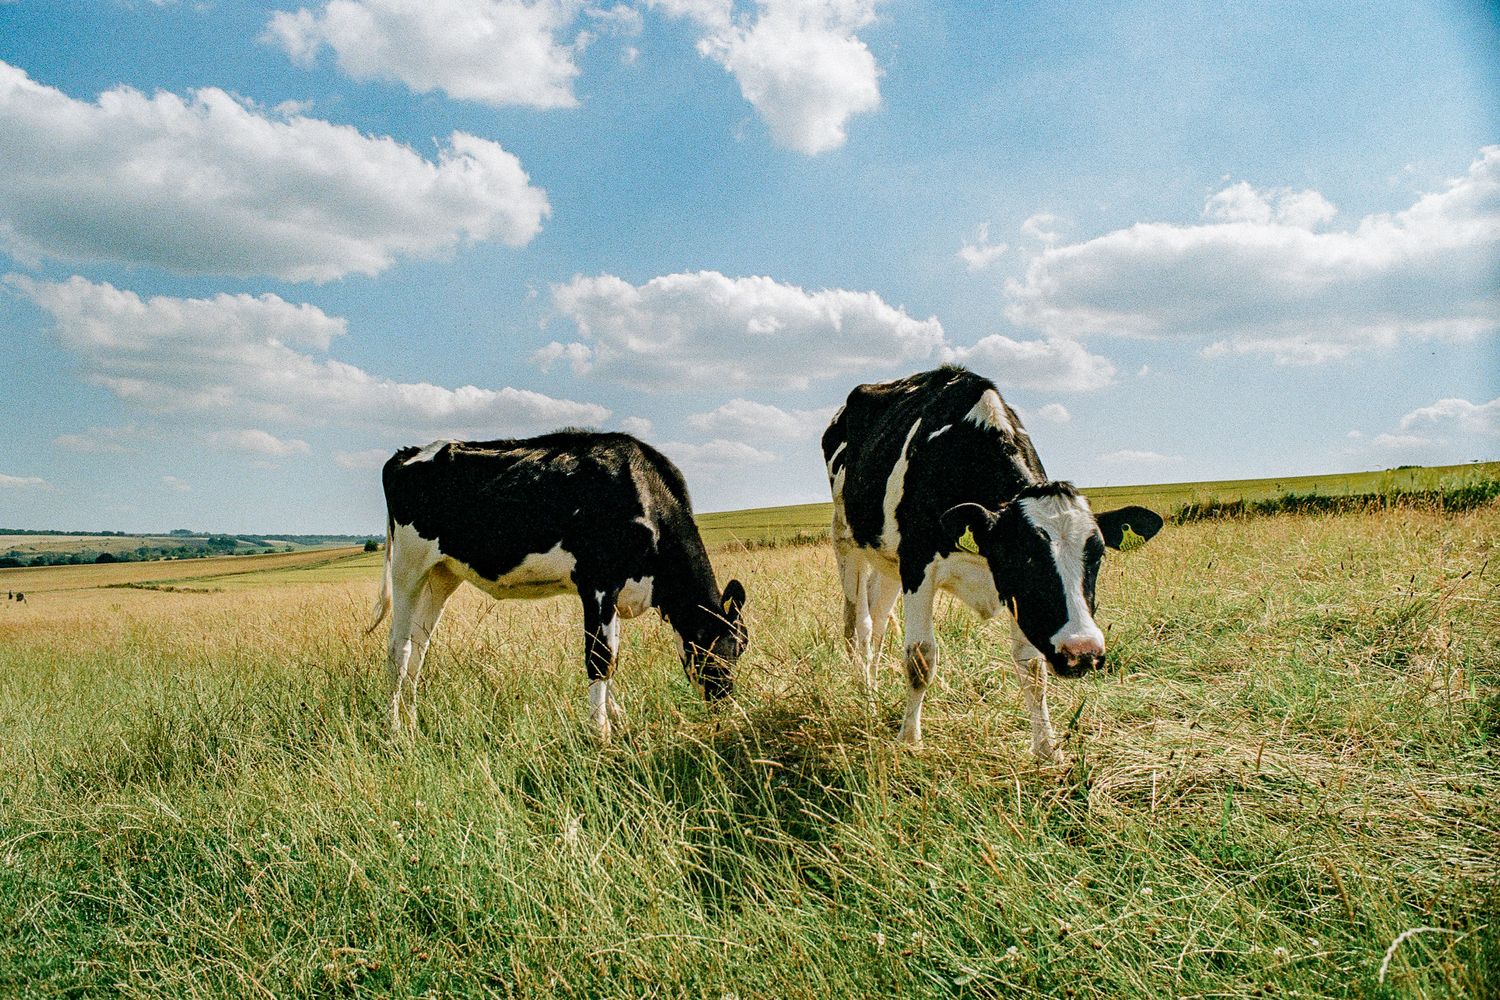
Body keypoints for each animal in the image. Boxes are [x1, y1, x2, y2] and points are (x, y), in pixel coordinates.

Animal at [369, 430, 748, 740]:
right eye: (719, 652)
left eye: (740, 649)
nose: (727, 710)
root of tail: (408, 452)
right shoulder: (597, 581)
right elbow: (599, 657)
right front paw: (601, 735)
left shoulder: (616, 594)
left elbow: (612, 656)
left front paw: (617, 722)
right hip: (408, 567)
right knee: (399, 648)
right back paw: (395, 730)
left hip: (442, 574)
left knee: (419, 647)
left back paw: (413, 724)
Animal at [823, 366, 1162, 761]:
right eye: (1025, 558)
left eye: (1098, 555)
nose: (1083, 652)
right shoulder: (918, 565)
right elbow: (920, 659)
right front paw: (910, 740)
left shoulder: (1016, 596)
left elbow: (1032, 669)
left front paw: (1047, 750)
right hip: (846, 541)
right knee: (861, 627)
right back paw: (868, 701)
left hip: (887, 560)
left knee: (877, 625)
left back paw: (874, 695)